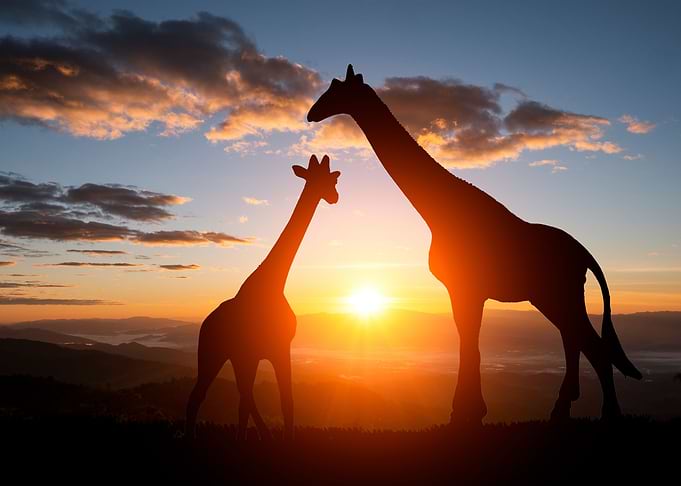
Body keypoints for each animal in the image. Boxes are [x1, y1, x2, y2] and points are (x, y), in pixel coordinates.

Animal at [185, 155, 340, 440]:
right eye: (330, 180)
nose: (335, 197)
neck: (273, 284)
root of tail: (205, 324)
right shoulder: (274, 349)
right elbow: (280, 401)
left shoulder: (267, 351)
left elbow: (278, 400)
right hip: (212, 352)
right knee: (202, 396)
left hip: (236, 357)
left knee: (242, 395)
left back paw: (262, 434)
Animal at [307, 65, 641, 425]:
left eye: (336, 90)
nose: (311, 114)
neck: (439, 211)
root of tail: (586, 256)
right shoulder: (467, 291)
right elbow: (470, 343)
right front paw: (470, 410)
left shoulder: (465, 288)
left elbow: (469, 345)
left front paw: (464, 413)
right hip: (553, 298)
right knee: (574, 340)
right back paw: (562, 409)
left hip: (559, 295)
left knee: (591, 345)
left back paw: (609, 414)